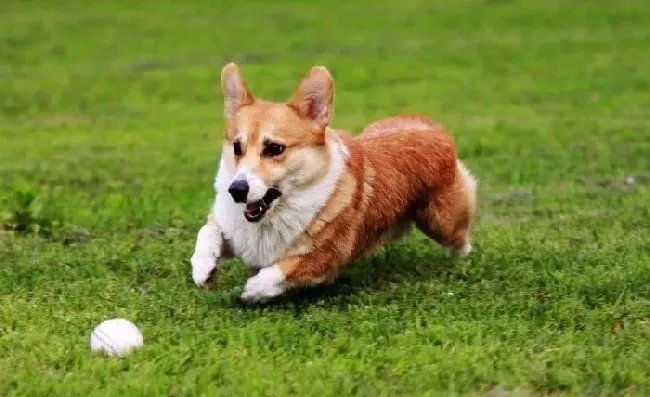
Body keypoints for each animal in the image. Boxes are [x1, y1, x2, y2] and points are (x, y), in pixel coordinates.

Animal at [190, 63, 474, 302]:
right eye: (236, 148)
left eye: (274, 149)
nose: (236, 191)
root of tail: (428, 125)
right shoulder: (231, 230)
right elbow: (207, 232)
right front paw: (203, 269)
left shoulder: (324, 258)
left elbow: (280, 270)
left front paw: (253, 290)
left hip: (441, 223)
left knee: (460, 237)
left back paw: (463, 255)